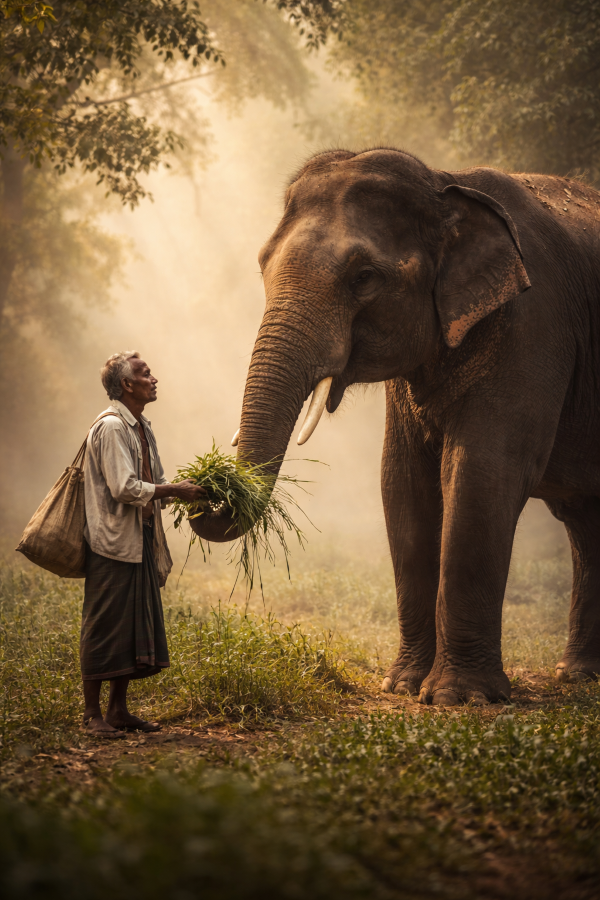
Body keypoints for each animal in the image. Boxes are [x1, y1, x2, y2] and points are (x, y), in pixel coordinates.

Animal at [191, 147, 600, 706]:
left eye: (364, 277)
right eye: (262, 264)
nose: (206, 492)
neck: (444, 183)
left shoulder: (535, 325)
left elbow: (481, 475)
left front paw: (458, 698)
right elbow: (402, 485)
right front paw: (402, 684)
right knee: (585, 522)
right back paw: (578, 675)